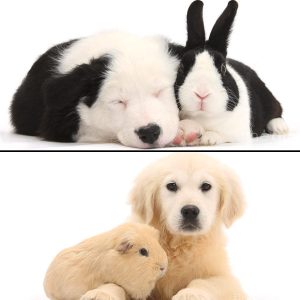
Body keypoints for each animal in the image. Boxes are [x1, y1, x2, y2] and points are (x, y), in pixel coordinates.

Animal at [129, 154, 246, 300]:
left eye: (206, 186)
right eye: (171, 186)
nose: (190, 211)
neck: (182, 244)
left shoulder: (227, 279)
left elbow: (205, 281)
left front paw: (189, 294)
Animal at [173, 0, 288, 145]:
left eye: (223, 68)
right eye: (182, 67)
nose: (202, 93)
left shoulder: (238, 134)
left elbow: (223, 136)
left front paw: (209, 138)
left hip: (268, 97)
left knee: (277, 111)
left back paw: (280, 128)